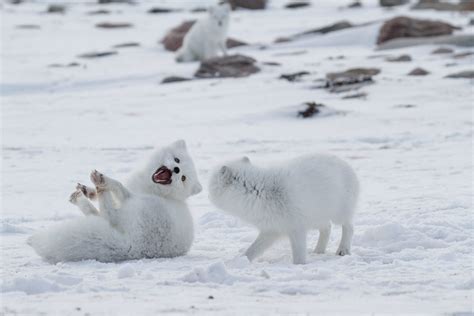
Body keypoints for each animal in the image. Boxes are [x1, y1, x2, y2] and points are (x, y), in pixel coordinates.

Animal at [27, 139, 202, 262]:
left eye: (183, 178)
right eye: (177, 160)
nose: (177, 170)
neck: (151, 188)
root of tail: (133, 248)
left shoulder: (129, 194)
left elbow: (119, 186)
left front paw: (102, 183)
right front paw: (89, 191)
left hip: (138, 206)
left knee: (108, 214)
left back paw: (98, 183)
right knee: (100, 215)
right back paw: (84, 194)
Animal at [208, 154, 360, 264]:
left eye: (212, 183)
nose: (207, 194)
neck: (259, 192)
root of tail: (346, 164)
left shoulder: (296, 228)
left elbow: (299, 254)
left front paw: (300, 265)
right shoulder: (271, 230)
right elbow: (253, 250)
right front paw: (239, 261)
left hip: (339, 214)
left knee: (349, 227)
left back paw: (343, 250)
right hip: (316, 217)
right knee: (327, 228)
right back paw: (318, 251)